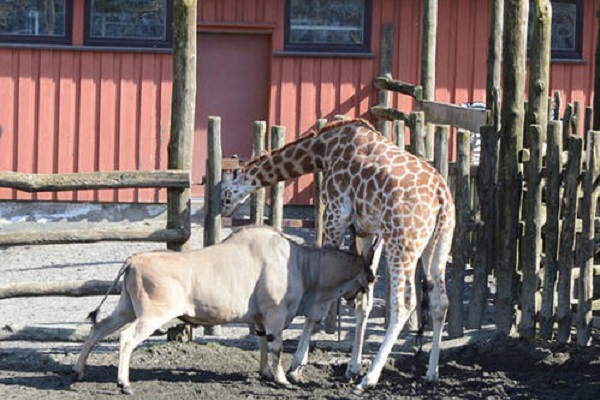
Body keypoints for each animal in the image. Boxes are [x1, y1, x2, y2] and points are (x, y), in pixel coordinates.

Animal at [220, 117, 454, 392]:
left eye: (226, 190)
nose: (223, 209)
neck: (323, 149)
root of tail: (441, 195)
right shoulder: (367, 231)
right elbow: (365, 300)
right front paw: (352, 367)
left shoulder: (335, 213)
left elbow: (322, 294)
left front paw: (296, 367)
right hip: (438, 243)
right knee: (440, 301)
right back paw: (431, 372)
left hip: (403, 242)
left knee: (404, 303)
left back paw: (369, 379)